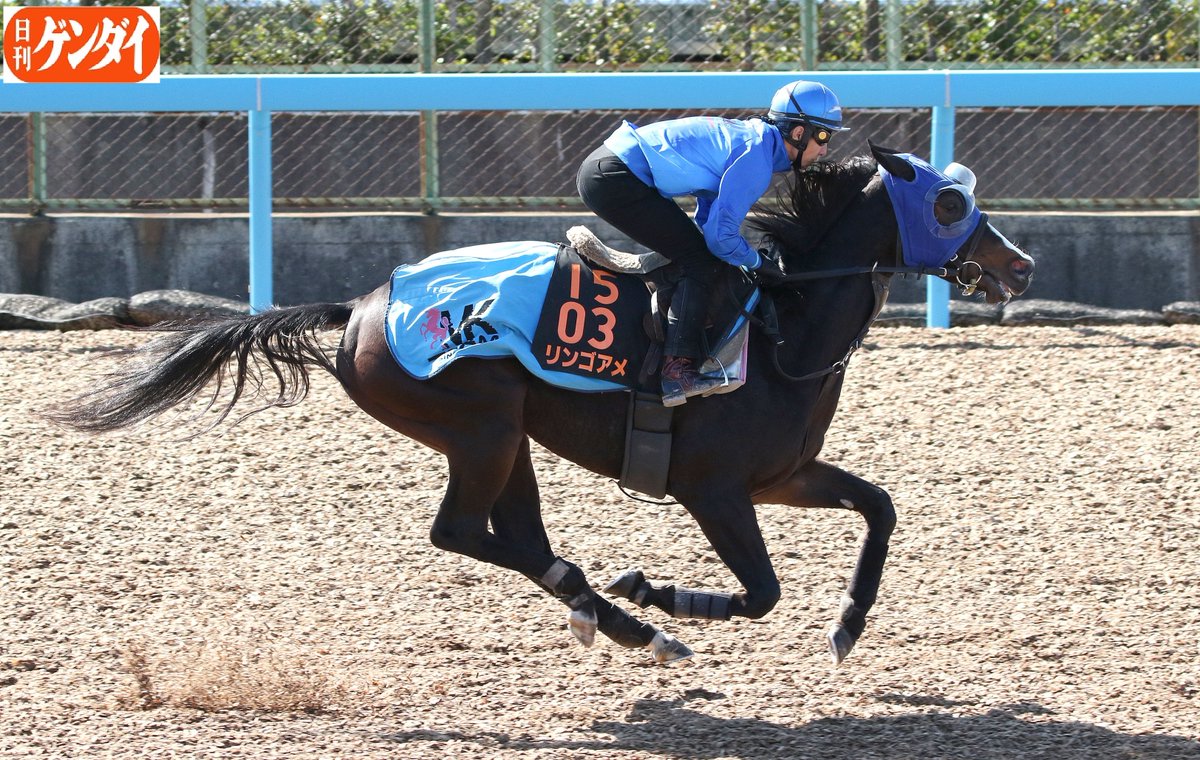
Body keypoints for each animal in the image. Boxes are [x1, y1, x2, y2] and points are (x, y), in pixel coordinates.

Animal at [48, 143, 1034, 666]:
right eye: (950, 201)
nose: (1019, 265)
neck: (783, 328)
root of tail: (361, 306)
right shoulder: (713, 490)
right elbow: (761, 591)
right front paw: (661, 591)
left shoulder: (781, 476)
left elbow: (880, 507)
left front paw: (847, 626)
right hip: (478, 426)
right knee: (462, 532)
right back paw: (631, 615)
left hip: (507, 434)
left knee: (514, 534)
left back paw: (607, 614)